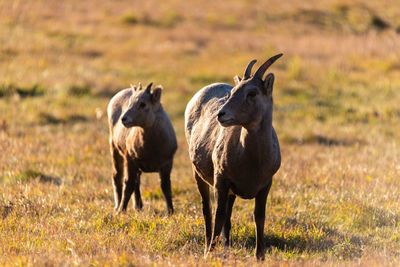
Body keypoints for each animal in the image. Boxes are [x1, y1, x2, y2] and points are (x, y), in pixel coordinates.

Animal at [108, 82, 177, 215]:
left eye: (143, 104)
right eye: (130, 102)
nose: (124, 119)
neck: (151, 149)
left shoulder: (167, 164)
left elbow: (166, 186)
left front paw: (170, 212)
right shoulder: (130, 159)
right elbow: (128, 184)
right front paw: (121, 211)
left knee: (137, 181)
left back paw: (138, 206)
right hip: (115, 149)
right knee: (117, 177)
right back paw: (118, 205)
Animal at [184, 55, 282, 262]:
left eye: (252, 92)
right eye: (234, 92)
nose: (221, 114)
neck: (251, 161)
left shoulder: (265, 185)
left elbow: (258, 216)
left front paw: (260, 256)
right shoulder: (221, 181)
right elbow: (219, 215)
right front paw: (209, 254)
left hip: (231, 192)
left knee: (228, 216)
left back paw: (227, 248)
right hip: (199, 175)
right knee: (207, 209)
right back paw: (209, 245)